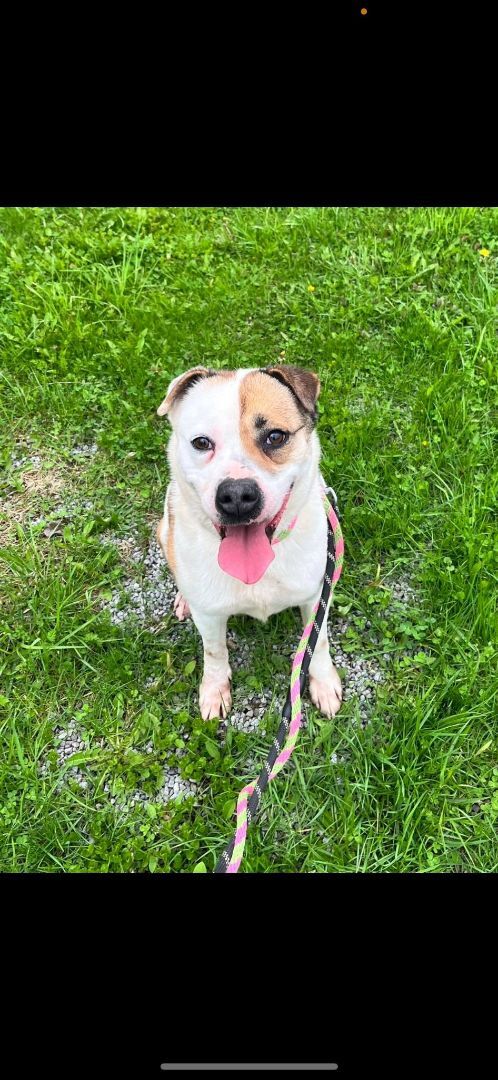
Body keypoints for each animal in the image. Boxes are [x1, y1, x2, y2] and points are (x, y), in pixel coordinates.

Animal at [155, 367, 341, 721]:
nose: (238, 495)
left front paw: (323, 683)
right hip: (163, 529)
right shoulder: (209, 614)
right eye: (201, 443)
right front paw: (215, 690)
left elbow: (319, 642)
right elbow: (214, 651)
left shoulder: (316, 596)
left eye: (275, 437)